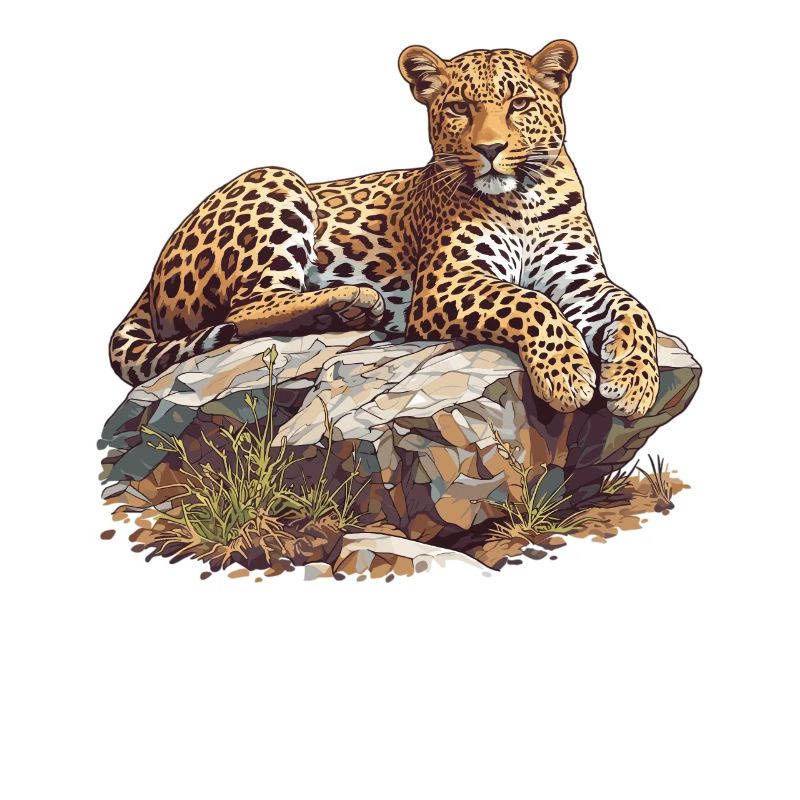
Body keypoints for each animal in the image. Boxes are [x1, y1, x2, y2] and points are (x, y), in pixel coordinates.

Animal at [109, 40, 659, 419]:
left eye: (519, 104)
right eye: (459, 108)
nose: (490, 148)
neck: (523, 198)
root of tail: (149, 282)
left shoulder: (581, 281)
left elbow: (635, 308)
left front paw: (633, 385)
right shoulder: (444, 283)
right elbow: (530, 302)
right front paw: (567, 376)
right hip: (276, 179)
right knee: (247, 307)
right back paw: (352, 301)